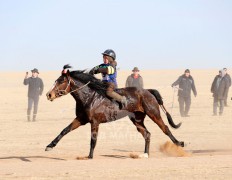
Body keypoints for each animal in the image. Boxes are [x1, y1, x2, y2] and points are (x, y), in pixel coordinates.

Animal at [44, 65, 183, 159]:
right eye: (56, 80)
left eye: (61, 81)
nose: (49, 95)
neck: (89, 97)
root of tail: (147, 91)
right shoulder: (81, 119)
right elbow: (65, 130)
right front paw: (50, 145)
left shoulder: (94, 122)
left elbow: (93, 139)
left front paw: (90, 156)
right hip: (137, 120)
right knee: (147, 134)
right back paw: (145, 154)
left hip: (154, 114)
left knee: (165, 128)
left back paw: (179, 143)